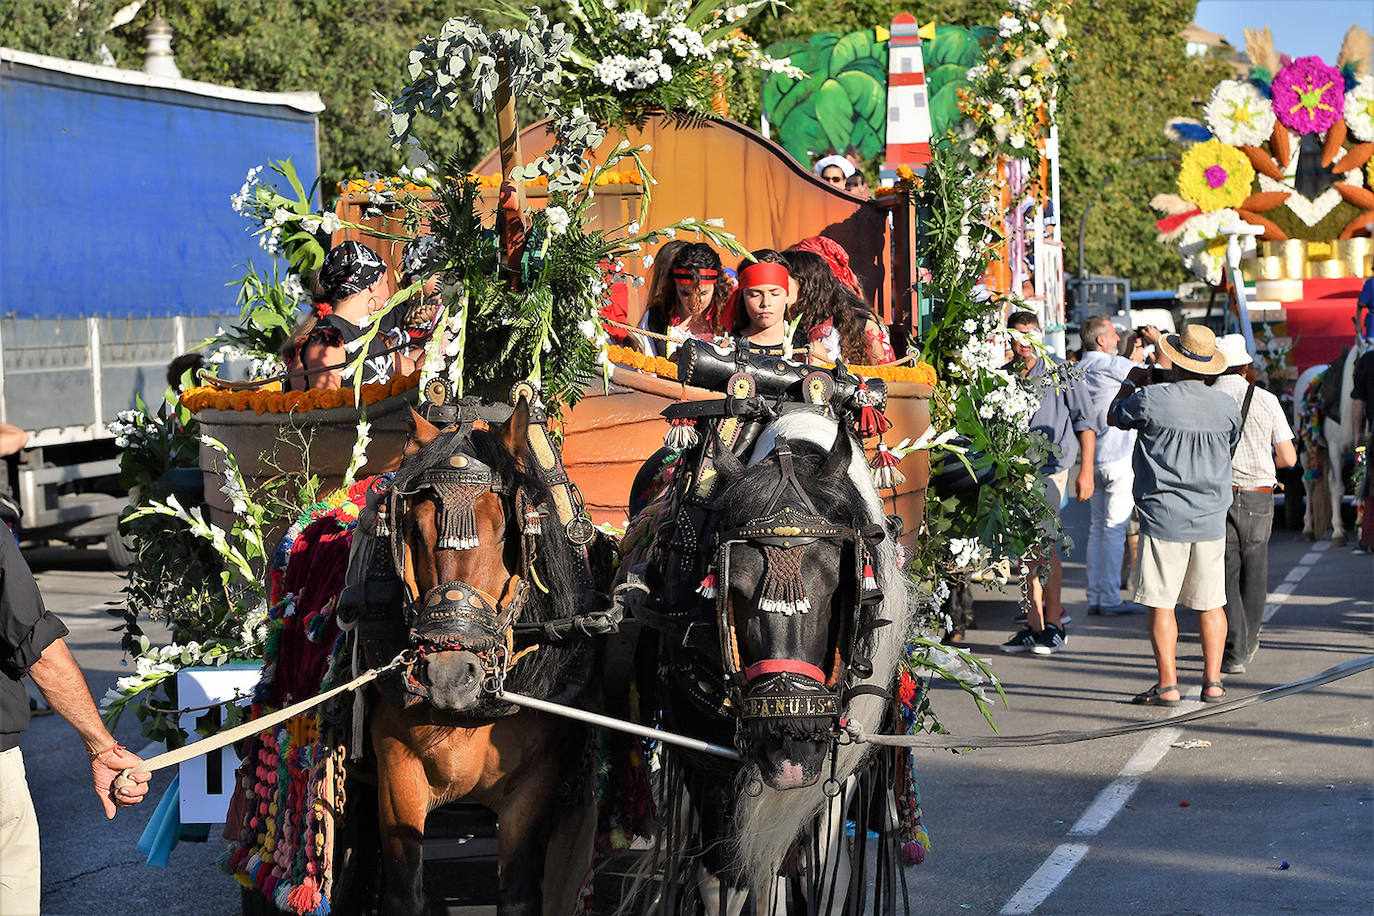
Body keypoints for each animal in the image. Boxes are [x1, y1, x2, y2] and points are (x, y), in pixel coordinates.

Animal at [346, 398, 615, 916]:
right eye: (413, 529)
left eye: (506, 528)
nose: (450, 675)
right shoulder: (397, 778)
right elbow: (404, 890)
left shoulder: (532, 788)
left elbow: (517, 894)